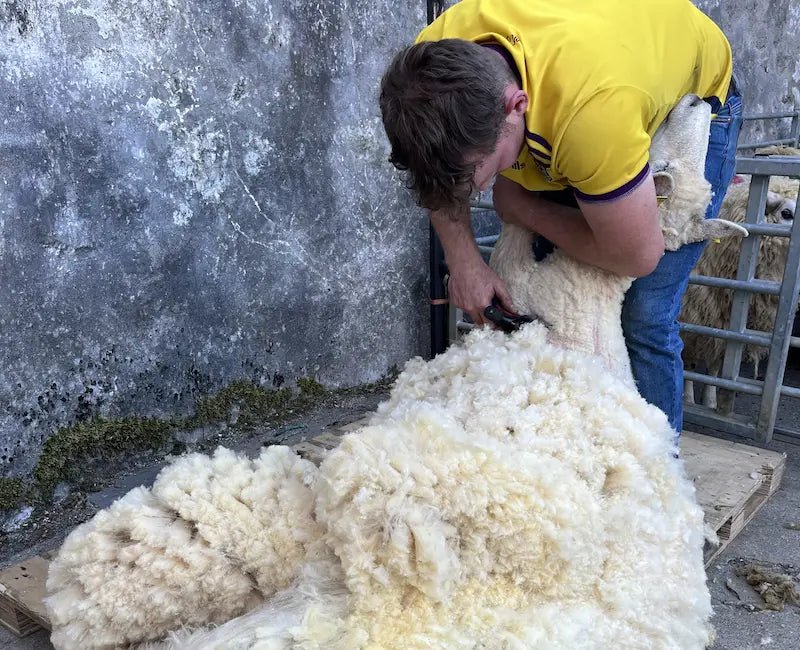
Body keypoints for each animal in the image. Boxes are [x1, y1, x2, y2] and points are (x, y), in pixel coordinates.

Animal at [681, 148, 798, 411]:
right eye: (787, 213)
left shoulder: (724, 327)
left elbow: (716, 369)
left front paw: (712, 402)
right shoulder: (692, 321)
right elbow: (688, 364)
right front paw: (689, 399)